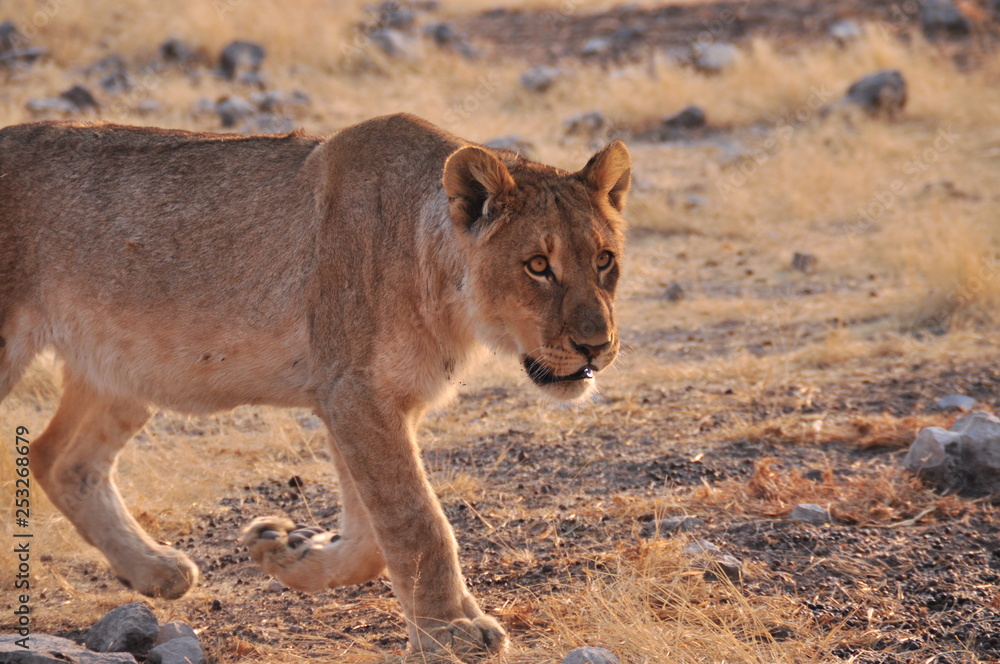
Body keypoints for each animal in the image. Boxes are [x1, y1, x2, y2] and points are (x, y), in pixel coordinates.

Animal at [0, 113, 629, 656]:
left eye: (604, 260)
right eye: (537, 266)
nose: (596, 345)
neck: (445, 285)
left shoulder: (362, 399)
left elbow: (374, 537)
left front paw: (286, 551)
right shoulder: (355, 392)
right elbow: (417, 521)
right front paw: (452, 631)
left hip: (123, 368)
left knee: (61, 458)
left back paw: (155, 570)